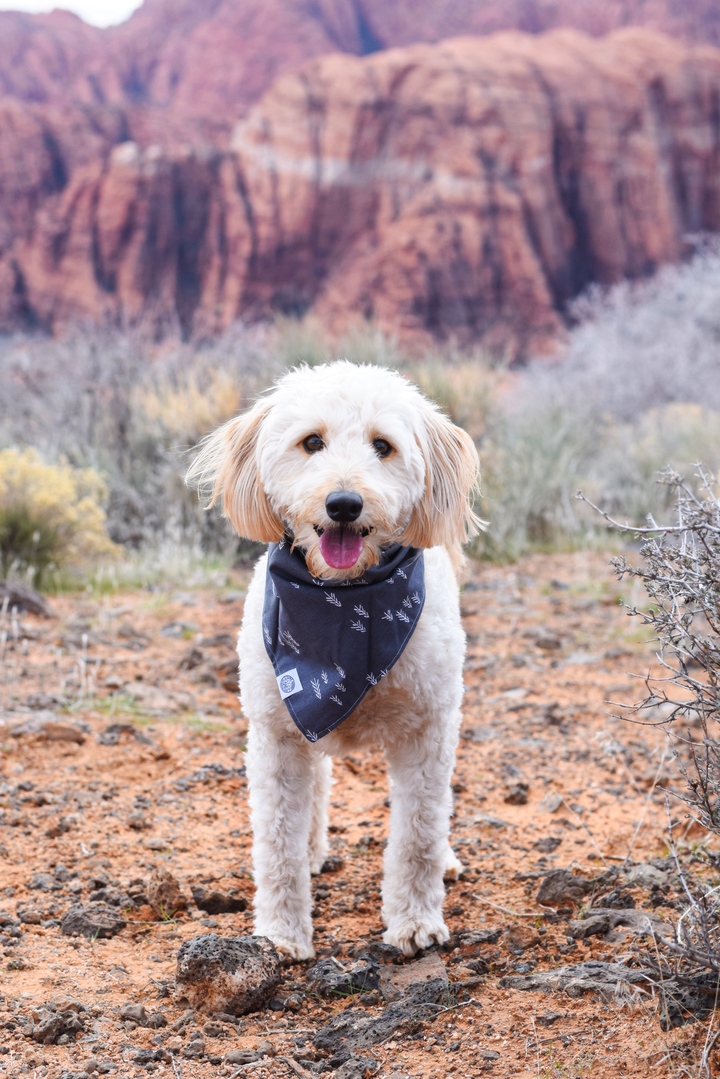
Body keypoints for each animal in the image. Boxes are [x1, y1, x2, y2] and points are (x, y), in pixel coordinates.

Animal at [188, 364, 481, 962]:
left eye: (383, 446)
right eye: (311, 442)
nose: (343, 503)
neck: (344, 607)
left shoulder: (429, 731)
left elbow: (418, 835)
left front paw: (415, 922)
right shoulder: (277, 733)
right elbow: (277, 844)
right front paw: (280, 935)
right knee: (315, 790)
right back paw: (313, 849)